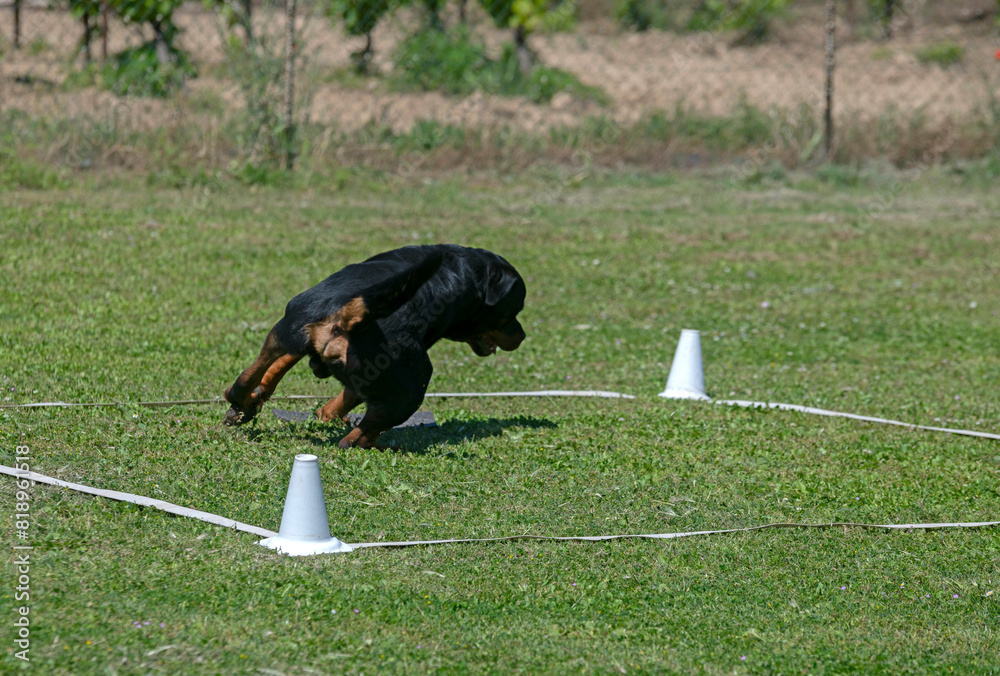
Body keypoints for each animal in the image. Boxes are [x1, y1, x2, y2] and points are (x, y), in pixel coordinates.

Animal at [224, 244, 528, 448]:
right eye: (515, 309)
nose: (523, 335)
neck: (467, 276)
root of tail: (352, 316)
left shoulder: (300, 339)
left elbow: (279, 369)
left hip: (289, 323)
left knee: (248, 375)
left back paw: (241, 402)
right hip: (412, 387)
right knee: (357, 437)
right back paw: (383, 445)